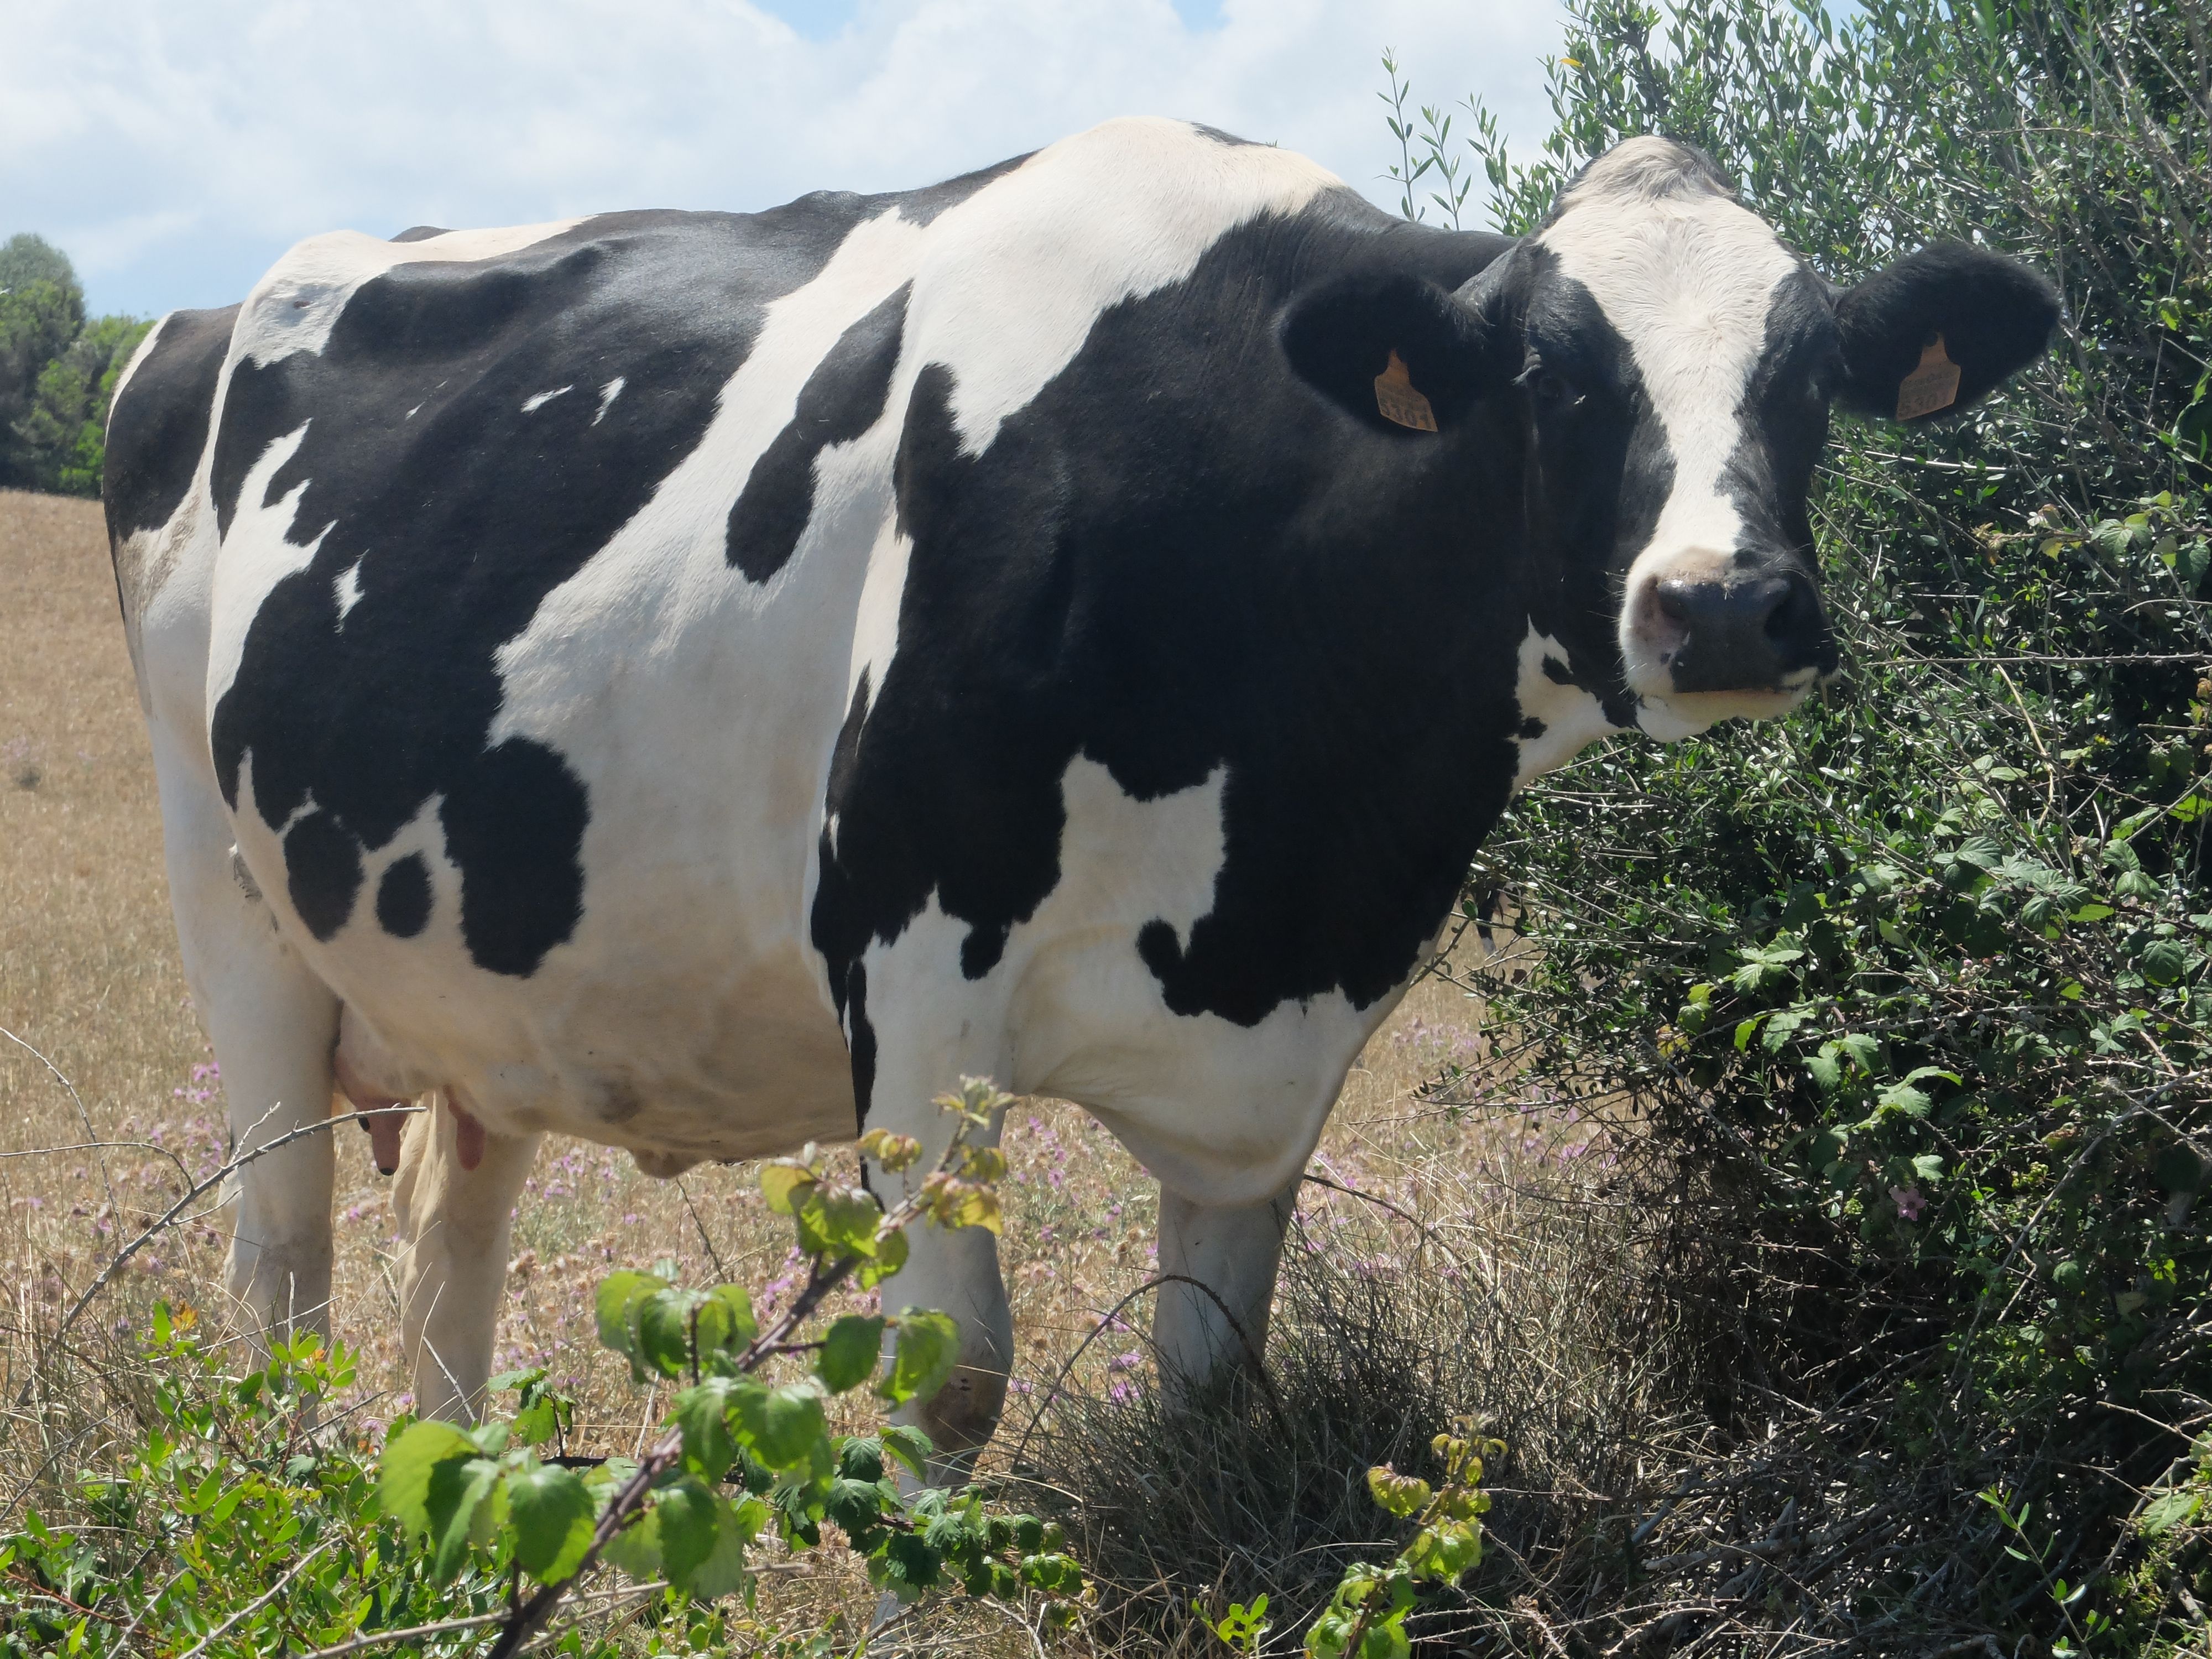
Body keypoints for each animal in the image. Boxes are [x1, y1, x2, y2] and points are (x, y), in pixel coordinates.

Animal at [95, 120, 2044, 1451]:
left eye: (1814, 373)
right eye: (1554, 373)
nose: (1723, 602)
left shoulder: (1275, 1048)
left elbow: (1210, 1375)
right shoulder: (904, 966)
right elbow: (949, 1383)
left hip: (479, 987)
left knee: (453, 1238)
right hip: (225, 900)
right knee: (281, 1263)